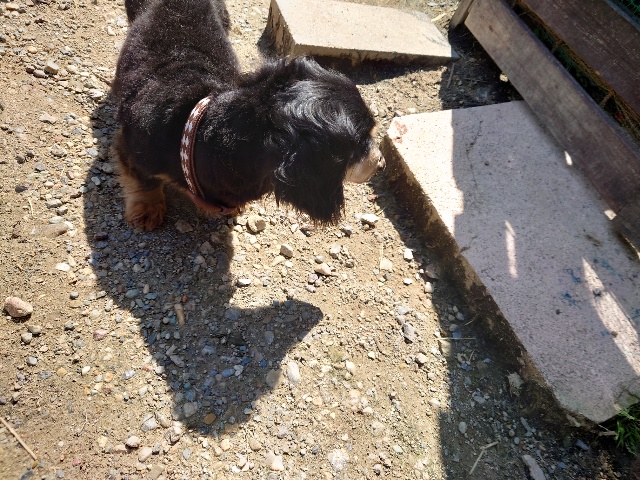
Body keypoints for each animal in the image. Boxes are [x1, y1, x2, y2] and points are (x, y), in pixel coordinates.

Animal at [111, 0, 385, 231]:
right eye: (360, 144)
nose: (381, 164)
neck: (194, 134)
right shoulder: (131, 146)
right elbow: (145, 181)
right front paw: (149, 208)